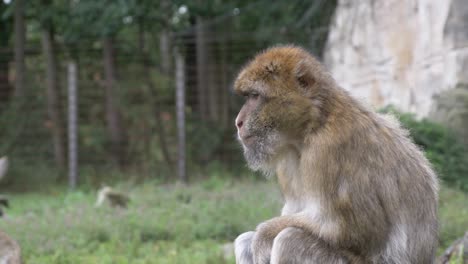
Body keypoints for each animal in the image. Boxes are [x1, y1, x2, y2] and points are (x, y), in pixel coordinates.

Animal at [234, 46, 438, 262]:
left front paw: (262, 237)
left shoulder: (327, 151)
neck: (314, 123)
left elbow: (348, 229)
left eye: (255, 96)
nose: (238, 122)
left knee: (290, 240)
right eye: (248, 96)